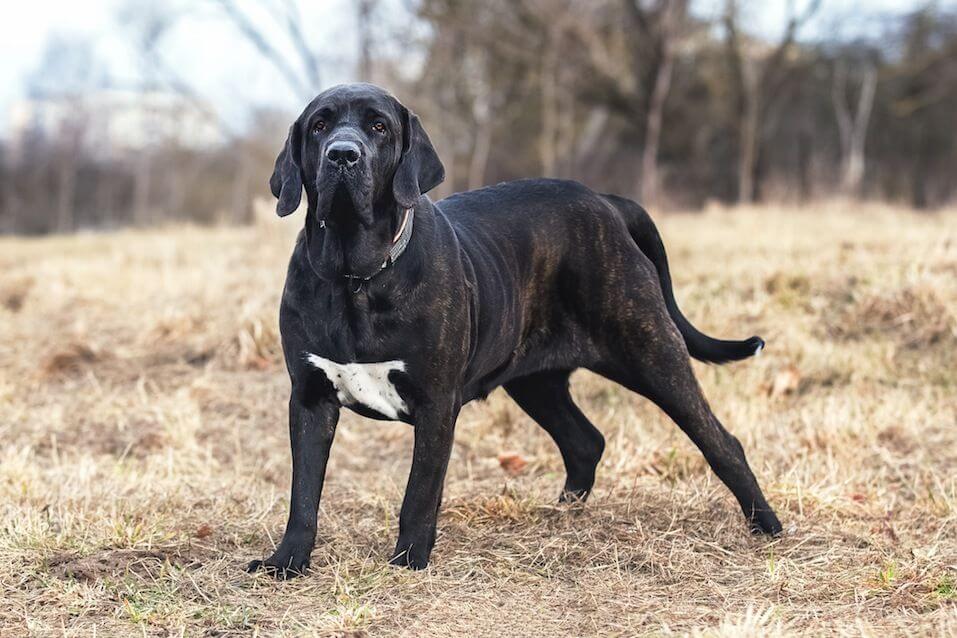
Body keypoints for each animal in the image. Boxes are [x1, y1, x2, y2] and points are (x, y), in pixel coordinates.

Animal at [246, 81, 776, 580]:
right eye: (319, 126)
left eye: (379, 127)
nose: (342, 154)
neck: (356, 278)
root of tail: (606, 201)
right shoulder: (310, 398)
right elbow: (303, 493)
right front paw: (286, 562)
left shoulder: (435, 403)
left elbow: (420, 492)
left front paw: (408, 560)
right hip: (535, 381)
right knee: (585, 441)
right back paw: (560, 514)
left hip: (651, 353)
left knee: (721, 442)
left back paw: (766, 525)